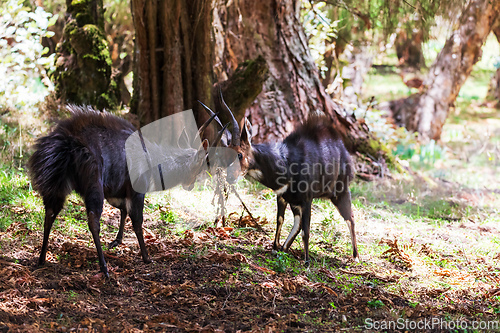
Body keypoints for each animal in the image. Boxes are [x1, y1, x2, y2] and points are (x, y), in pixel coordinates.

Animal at [27, 105, 215, 276]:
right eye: (200, 166)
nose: (191, 185)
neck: (153, 160)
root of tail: (66, 141)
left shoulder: (115, 192)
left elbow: (123, 211)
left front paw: (116, 241)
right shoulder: (136, 191)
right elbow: (137, 221)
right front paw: (147, 257)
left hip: (57, 186)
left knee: (49, 214)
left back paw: (41, 259)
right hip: (94, 185)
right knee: (93, 219)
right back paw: (104, 268)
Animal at [201, 100, 358, 266]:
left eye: (239, 154)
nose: (230, 177)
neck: (286, 162)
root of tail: (343, 149)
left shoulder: (307, 199)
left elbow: (306, 230)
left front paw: (306, 262)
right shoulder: (282, 196)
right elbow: (280, 221)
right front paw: (275, 249)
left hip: (340, 192)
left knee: (350, 218)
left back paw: (355, 257)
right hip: (297, 202)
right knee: (298, 222)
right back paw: (285, 247)